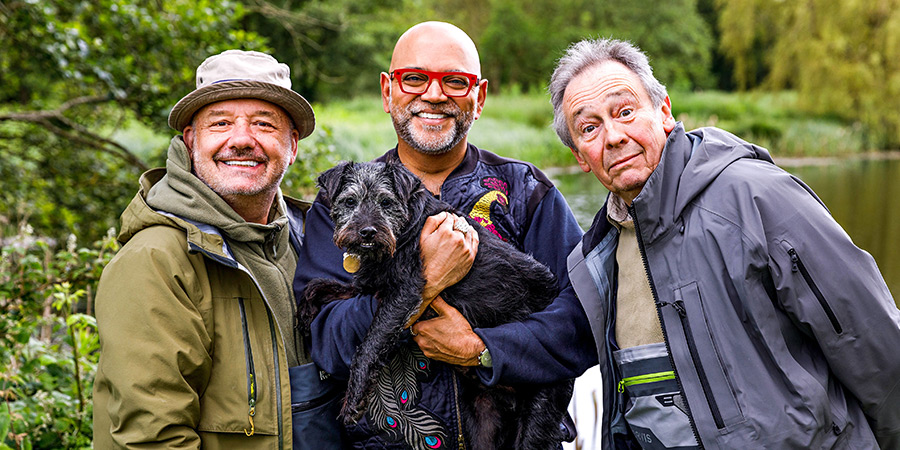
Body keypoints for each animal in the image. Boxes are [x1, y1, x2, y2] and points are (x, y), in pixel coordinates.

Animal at [300, 160, 568, 448]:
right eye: (350, 201)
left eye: (386, 202)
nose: (367, 232)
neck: (405, 231)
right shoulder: (369, 287)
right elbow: (318, 285)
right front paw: (303, 316)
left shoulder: (403, 294)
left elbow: (368, 346)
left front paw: (354, 399)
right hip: (483, 419)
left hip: (539, 414)